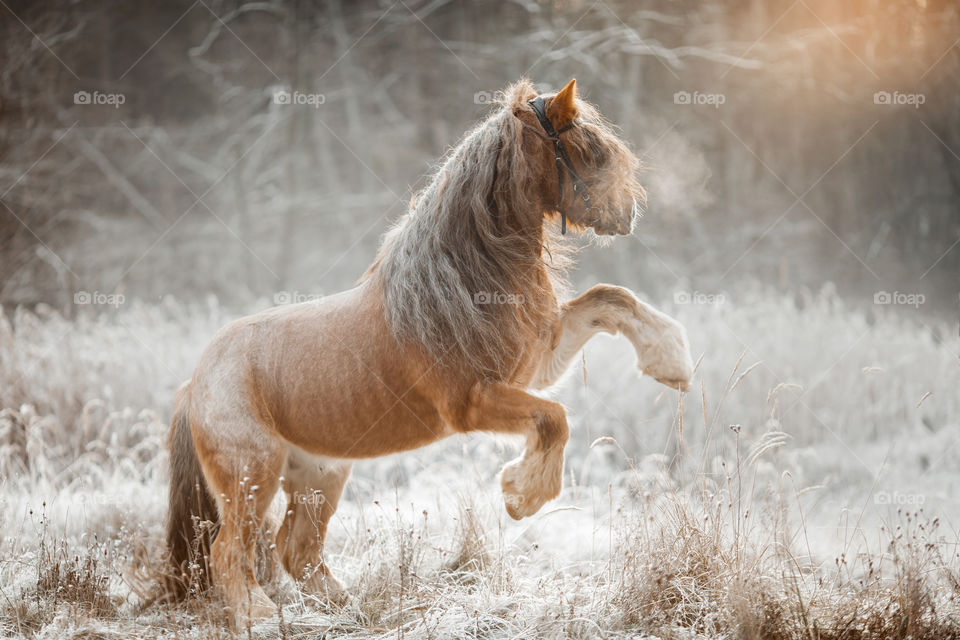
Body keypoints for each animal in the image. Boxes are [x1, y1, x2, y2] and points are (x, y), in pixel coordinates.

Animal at [163, 78, 694, 625]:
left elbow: (610, 299)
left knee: (298, 549)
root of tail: (196, 381)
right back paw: (262, 617)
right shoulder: (473, 401)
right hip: (252, 475)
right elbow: (554, 419)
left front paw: (672, 362)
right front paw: (521, 495)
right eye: (588, 149)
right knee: (230, 551)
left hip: (319, 474)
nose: (628, 213)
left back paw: (347, 609)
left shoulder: (537, 364)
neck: (454, 286)